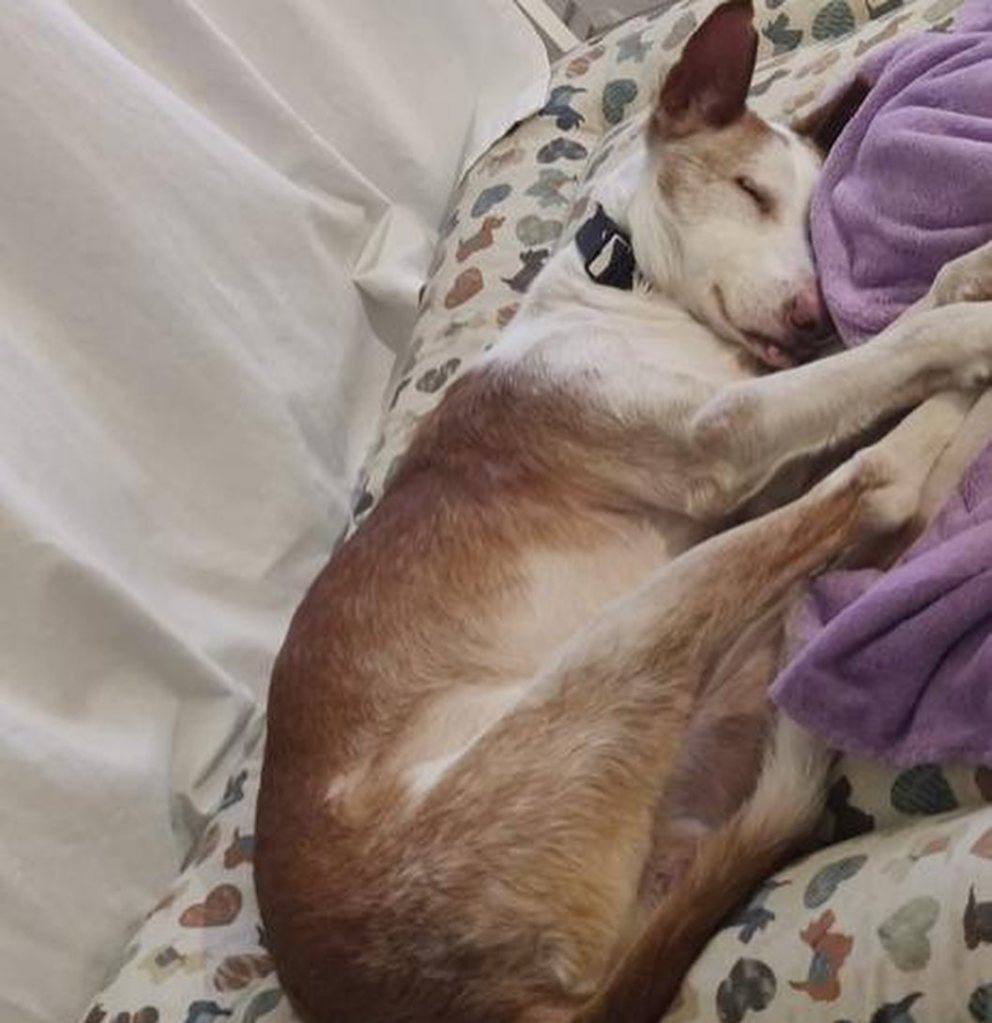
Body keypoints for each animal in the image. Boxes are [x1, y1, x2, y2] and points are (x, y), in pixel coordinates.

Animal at [256, 4, 992, 1022]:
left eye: (813, 222)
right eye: (749, 191)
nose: (811, 314)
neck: (622, 282)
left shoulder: (760, 448)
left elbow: (897, 327)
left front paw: (965, 273)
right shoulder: (724, 435)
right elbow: (897, 347)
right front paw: (973, 323)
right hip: (623, 643)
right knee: (881, 487)